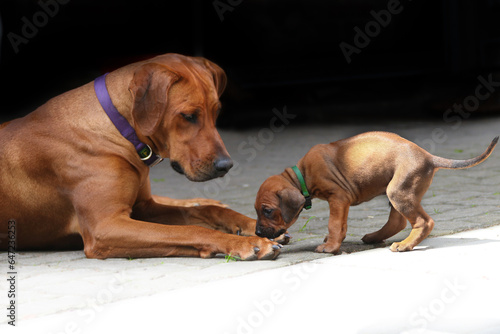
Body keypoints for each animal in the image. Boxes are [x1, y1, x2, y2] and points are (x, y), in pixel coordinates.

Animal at [0, 53, 282, 260]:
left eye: (217, 112)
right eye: (188, 115)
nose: (227, 165)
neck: (117, 127)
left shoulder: (143, 207)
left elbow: (207, 212)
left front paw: (257, 225)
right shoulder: (105, 227)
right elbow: (189, 229)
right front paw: (245, 243)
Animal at [256, 130, 498, 253]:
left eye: (267, 211)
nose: (257, 232)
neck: (302, 175)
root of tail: (428, 157)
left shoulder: (338, 197)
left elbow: (334, 224)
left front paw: (330, 247)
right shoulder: (341, 201)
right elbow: (340, 225)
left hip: (398, 191)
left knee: (423, 222)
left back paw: (405, 245)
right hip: (398, 191)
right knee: (397, 222)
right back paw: (375, 237)